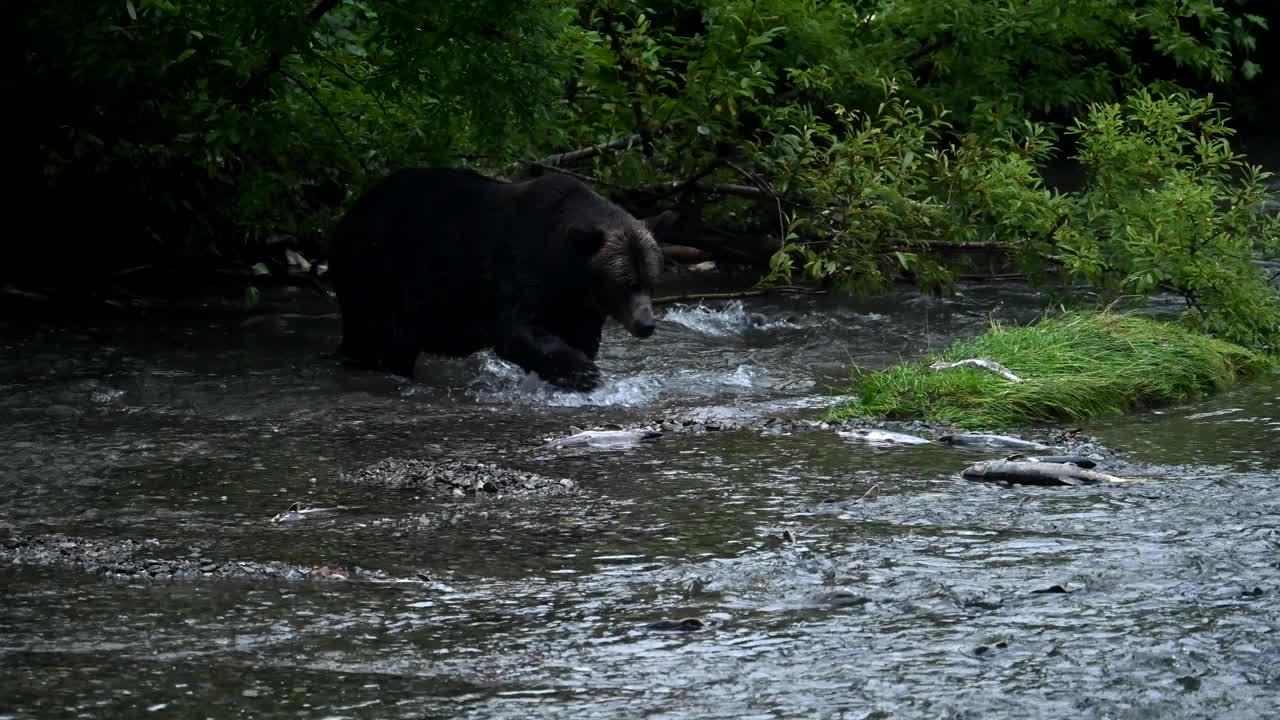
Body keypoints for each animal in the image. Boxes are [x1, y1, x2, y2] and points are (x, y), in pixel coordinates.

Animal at [330, 166, 675, 392]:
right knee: (375, 334)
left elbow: (581, 336)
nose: (646, 325)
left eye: (651, 281)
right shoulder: (517, 268)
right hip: (378, 270)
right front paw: (583, 372)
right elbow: (516, 331)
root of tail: (349, 213)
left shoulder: (577, 304)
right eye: (626, 282)